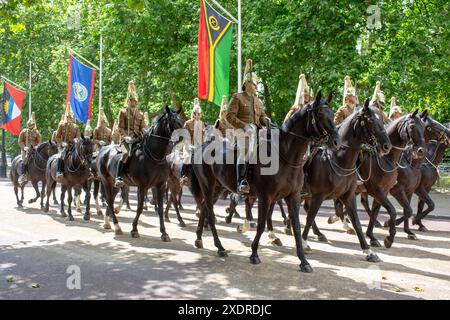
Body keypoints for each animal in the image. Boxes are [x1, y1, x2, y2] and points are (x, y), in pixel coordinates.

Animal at [97, 106, 184, 239]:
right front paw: (134, 229)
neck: (154, 155)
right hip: (105, 180)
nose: (183, 136)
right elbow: (140, 207)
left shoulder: (160, 185)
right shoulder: (142, 186)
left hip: (114, 184)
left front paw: (164, 233)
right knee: (109, 201)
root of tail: (103, 149)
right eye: (173, 120)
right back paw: (117, 227)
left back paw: (108, 222)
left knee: (110, 200)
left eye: (181, 120)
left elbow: (160, 209)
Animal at [189, 90, 338, 272]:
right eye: (321, 113)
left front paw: (303, 261)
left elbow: (296, 226)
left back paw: (199, 239)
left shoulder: (293, 196)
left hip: (218, 188)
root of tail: (202, 146)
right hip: (208, 187)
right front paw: (254, 253)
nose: (336, 141)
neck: (285, 156)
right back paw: (220, 247)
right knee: (209, 213)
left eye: (333, 113)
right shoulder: (265, 197)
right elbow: (260, 224)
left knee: (204, 208)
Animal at [300, 100, 392, 262]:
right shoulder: (318, 196)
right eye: (370, 121)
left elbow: (356, 223)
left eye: (381, 120)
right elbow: (310, 217)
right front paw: (304, 243)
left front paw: (368, 251)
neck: (339, 160)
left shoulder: (348, 196)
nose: (387, 146)